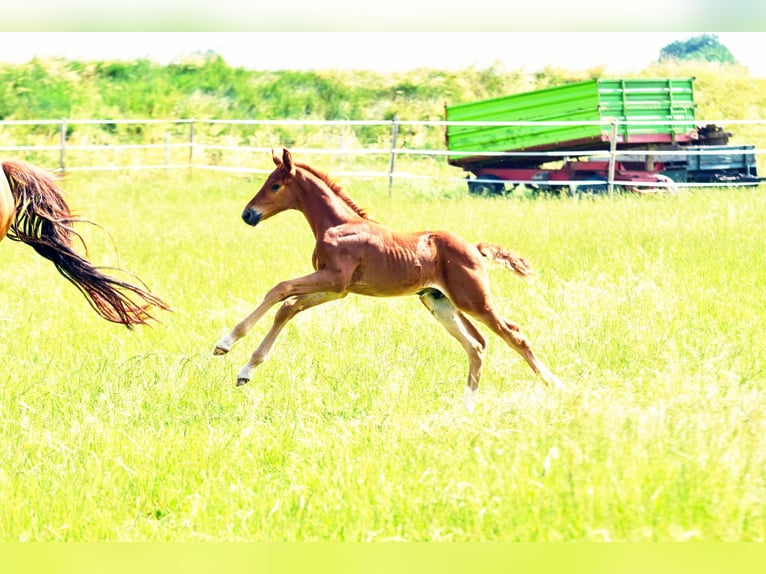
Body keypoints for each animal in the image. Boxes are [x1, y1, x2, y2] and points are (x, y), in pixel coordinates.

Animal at [214, 149, 563, 411]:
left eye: (275, 186)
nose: (248, 214)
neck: (338, 224)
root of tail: (475, 248)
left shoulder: (333, 279)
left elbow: (280, 290)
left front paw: (226, 342)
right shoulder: (338, 290)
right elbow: (288, 308)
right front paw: (245, 370)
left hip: (473, 299)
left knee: (513, 334)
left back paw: (555, 385)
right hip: (438, 302)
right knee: (476, 344)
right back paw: (466, 407)